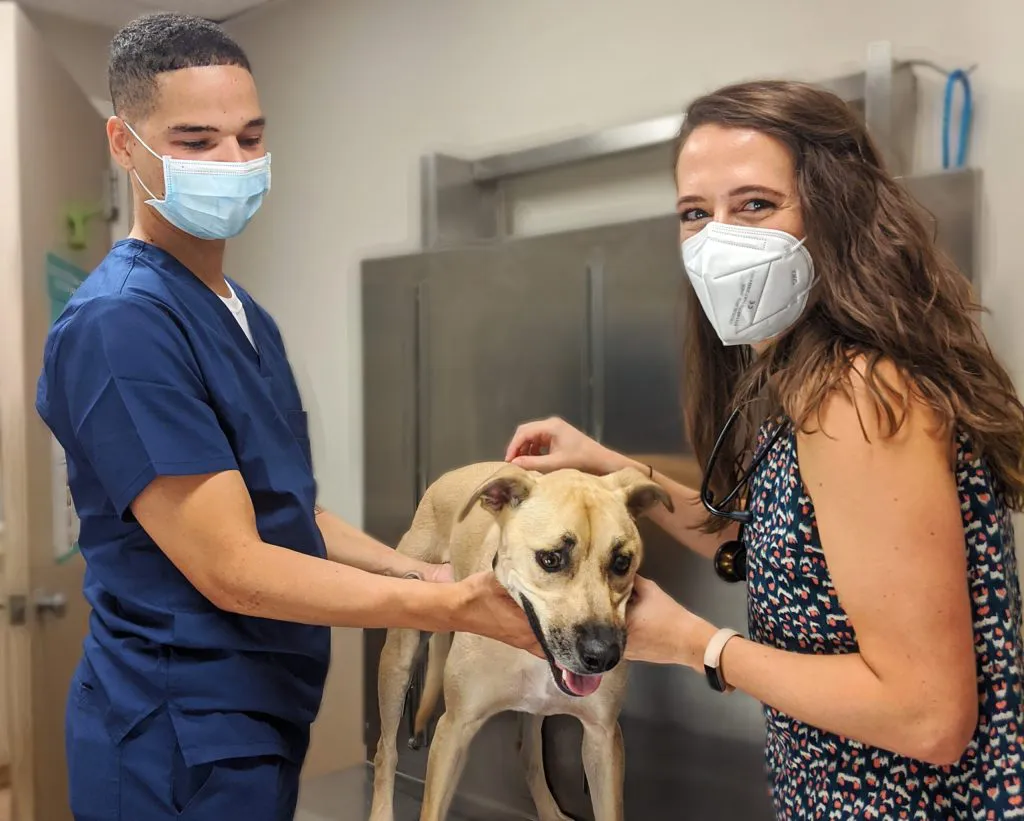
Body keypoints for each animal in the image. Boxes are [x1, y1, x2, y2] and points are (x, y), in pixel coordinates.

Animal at [368, 460, 671, 818]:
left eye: (622, 562)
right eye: (550, 559)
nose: (603, 656)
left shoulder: (603, 738)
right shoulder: (454, 728)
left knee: (528, 755)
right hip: (398, 662)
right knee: (386, 750)